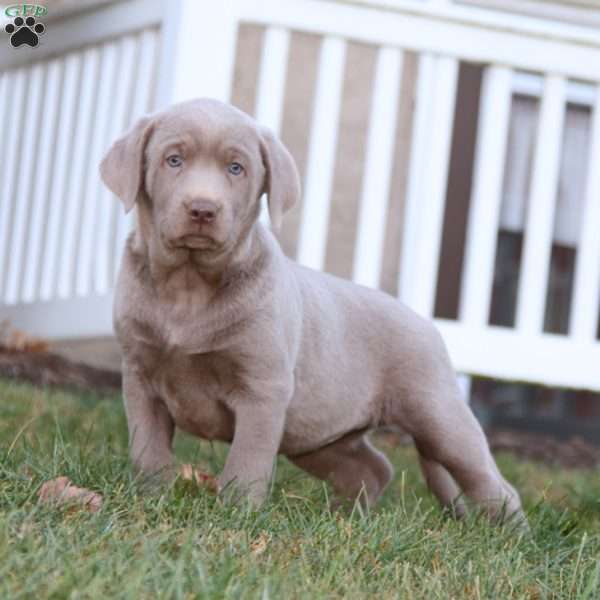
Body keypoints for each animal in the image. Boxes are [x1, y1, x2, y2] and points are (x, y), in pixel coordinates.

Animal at [101, 98, 524, 520]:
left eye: (236, 168)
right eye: (173, 160)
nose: (203, 209)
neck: (187, 289)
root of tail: (426, 322)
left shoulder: (263, 389)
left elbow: (247, 459)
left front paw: (237, 514)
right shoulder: (140, 377)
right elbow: (148, 448)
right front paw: (150, 499)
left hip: (438, 414)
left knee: (493, 483)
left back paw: (505, 531)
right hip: (317, 434)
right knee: (373, 468)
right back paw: (344, 516)